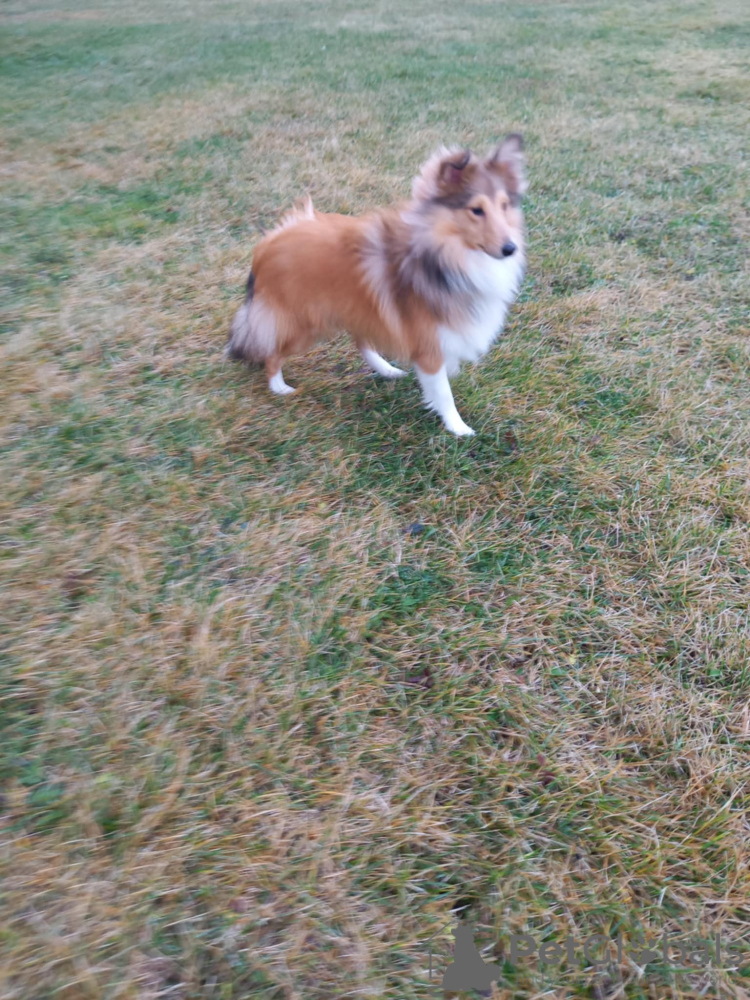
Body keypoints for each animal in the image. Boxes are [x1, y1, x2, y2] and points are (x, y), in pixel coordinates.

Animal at [227, 134, 526, 436]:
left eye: (504, 206)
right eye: (476, 210)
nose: (510, 248)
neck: (447, 255)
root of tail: (267, 244)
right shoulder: (430, 346)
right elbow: (443, 392)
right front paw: (458, 428)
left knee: (360, 340)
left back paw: (387, 370)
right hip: (303, 324)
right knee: (272, 353)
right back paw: (279, 387)